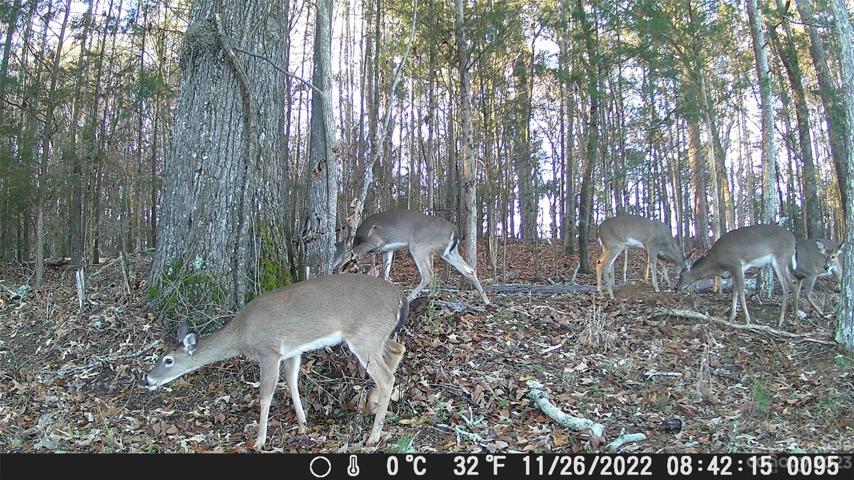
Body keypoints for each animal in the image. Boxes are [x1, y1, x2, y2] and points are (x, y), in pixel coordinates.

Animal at [143, 273, 408, 450]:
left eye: (168, 360)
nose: (147, 379)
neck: (241, 334)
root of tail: (400, 297)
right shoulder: (291, 351)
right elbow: (292, 381)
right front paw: (303, 424)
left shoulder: (268, 351)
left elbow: (265, 394)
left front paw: (259, 441)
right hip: (375, 335)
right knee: (397, 349)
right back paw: (372, 404)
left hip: (364, 335)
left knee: (387, 377)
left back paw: (373, 437)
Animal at [332, 209, 491, 305]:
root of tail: (455, 231)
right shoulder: (387, 250)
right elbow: (385, 274)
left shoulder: (374, 242)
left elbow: (348, 256)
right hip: (448, 252)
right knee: (469, 270)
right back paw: (487, 301)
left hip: (419, 247)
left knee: (428, 274)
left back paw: (408, 299)